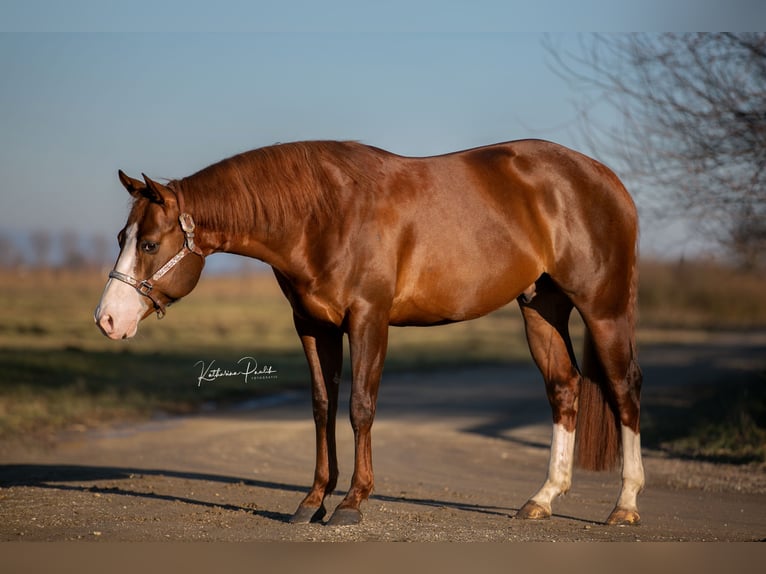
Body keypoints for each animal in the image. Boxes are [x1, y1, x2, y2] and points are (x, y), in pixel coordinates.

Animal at [97, 138, 648, 528]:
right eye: (121, 237)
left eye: (149, 243)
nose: (107, 319)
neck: (323, 213)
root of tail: (606, 179)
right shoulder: (313, 325)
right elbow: (322, 407)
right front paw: (312, 501)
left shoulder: (368, 318)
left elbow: (361, 406)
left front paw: (352, 502)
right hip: (541, 307)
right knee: (564, 388)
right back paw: (543, 499)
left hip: (603, 308)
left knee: (624, 388)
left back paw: (624, 505)